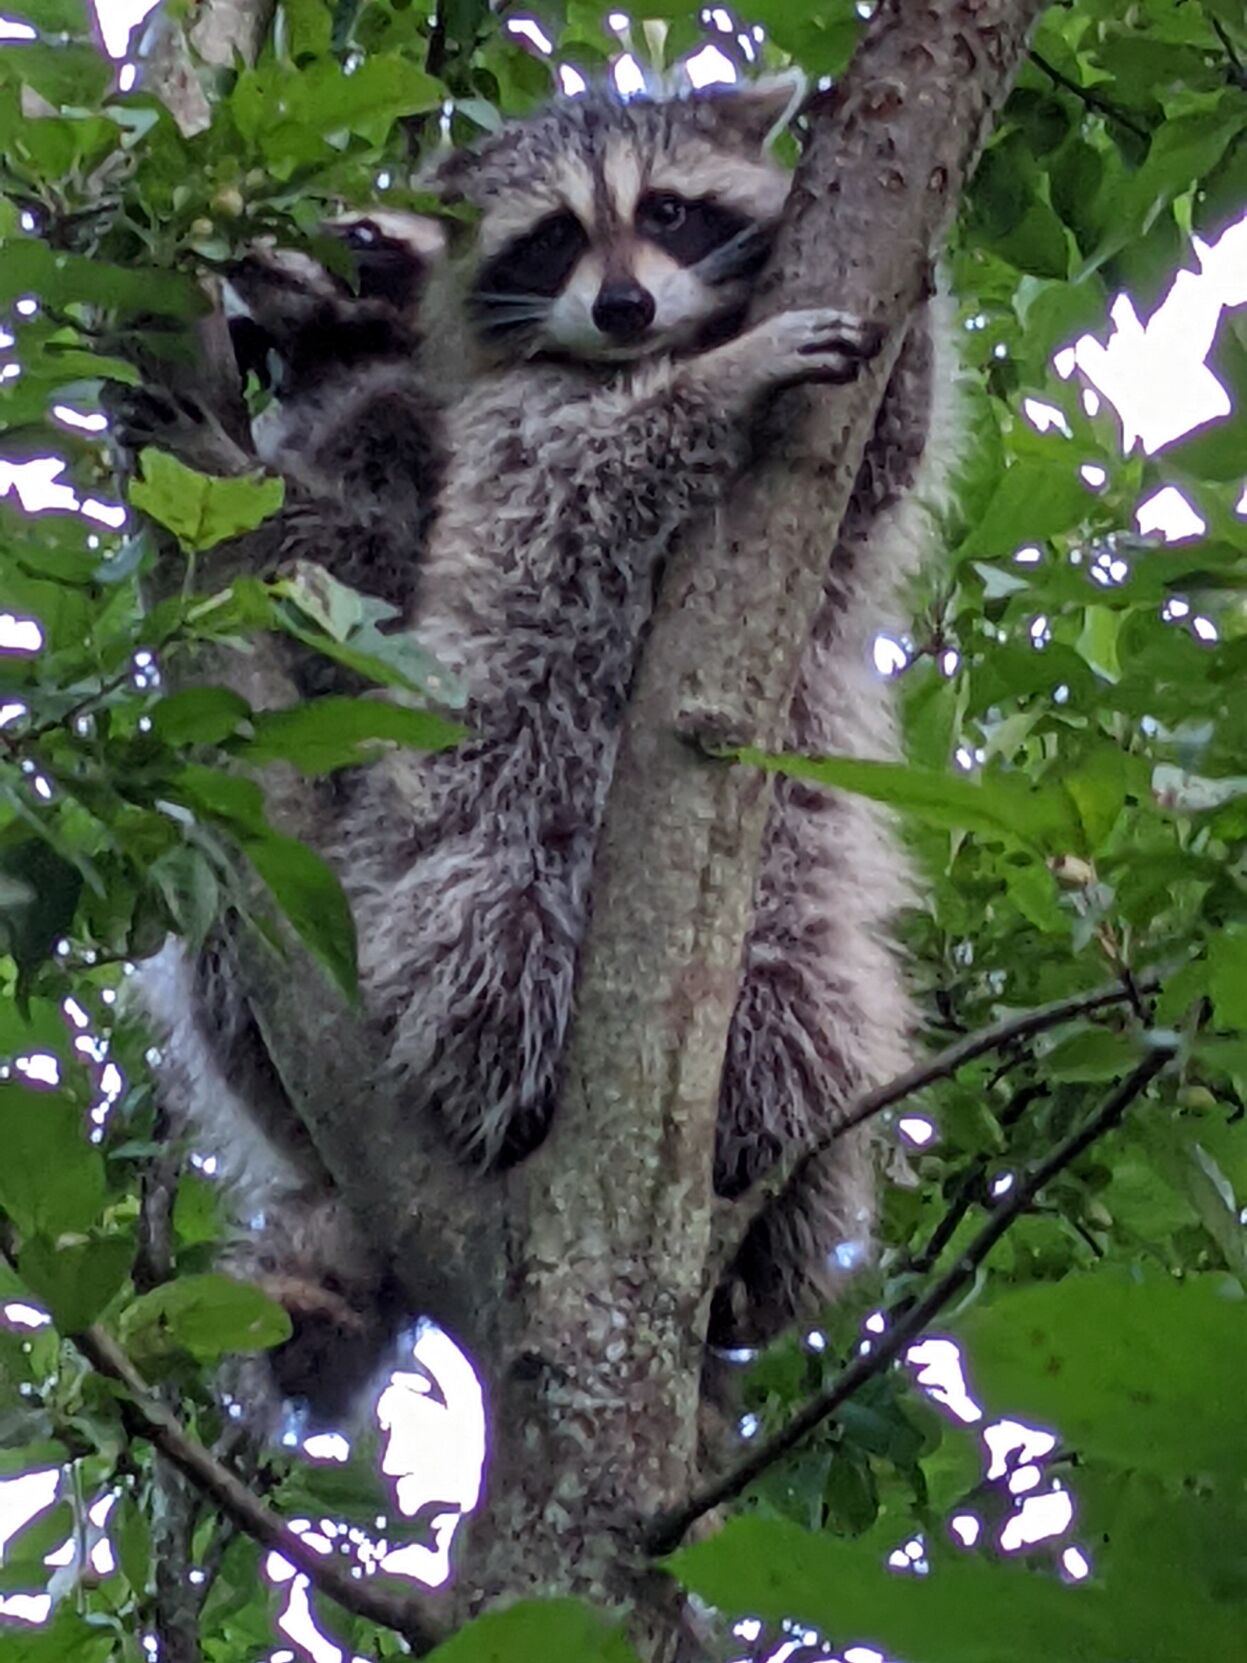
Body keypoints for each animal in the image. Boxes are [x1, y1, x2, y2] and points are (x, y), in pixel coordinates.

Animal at [341, 78, 884, 1183]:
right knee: (489, 928)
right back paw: (509, 1079)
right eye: (555, 235)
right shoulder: (511, 432)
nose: (622, 306)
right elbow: (587, 481)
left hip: (786, 886)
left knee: (794, 997)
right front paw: (726, 378)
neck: (637, 353)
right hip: (478, 806)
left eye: (665, 211)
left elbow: (885, 461)